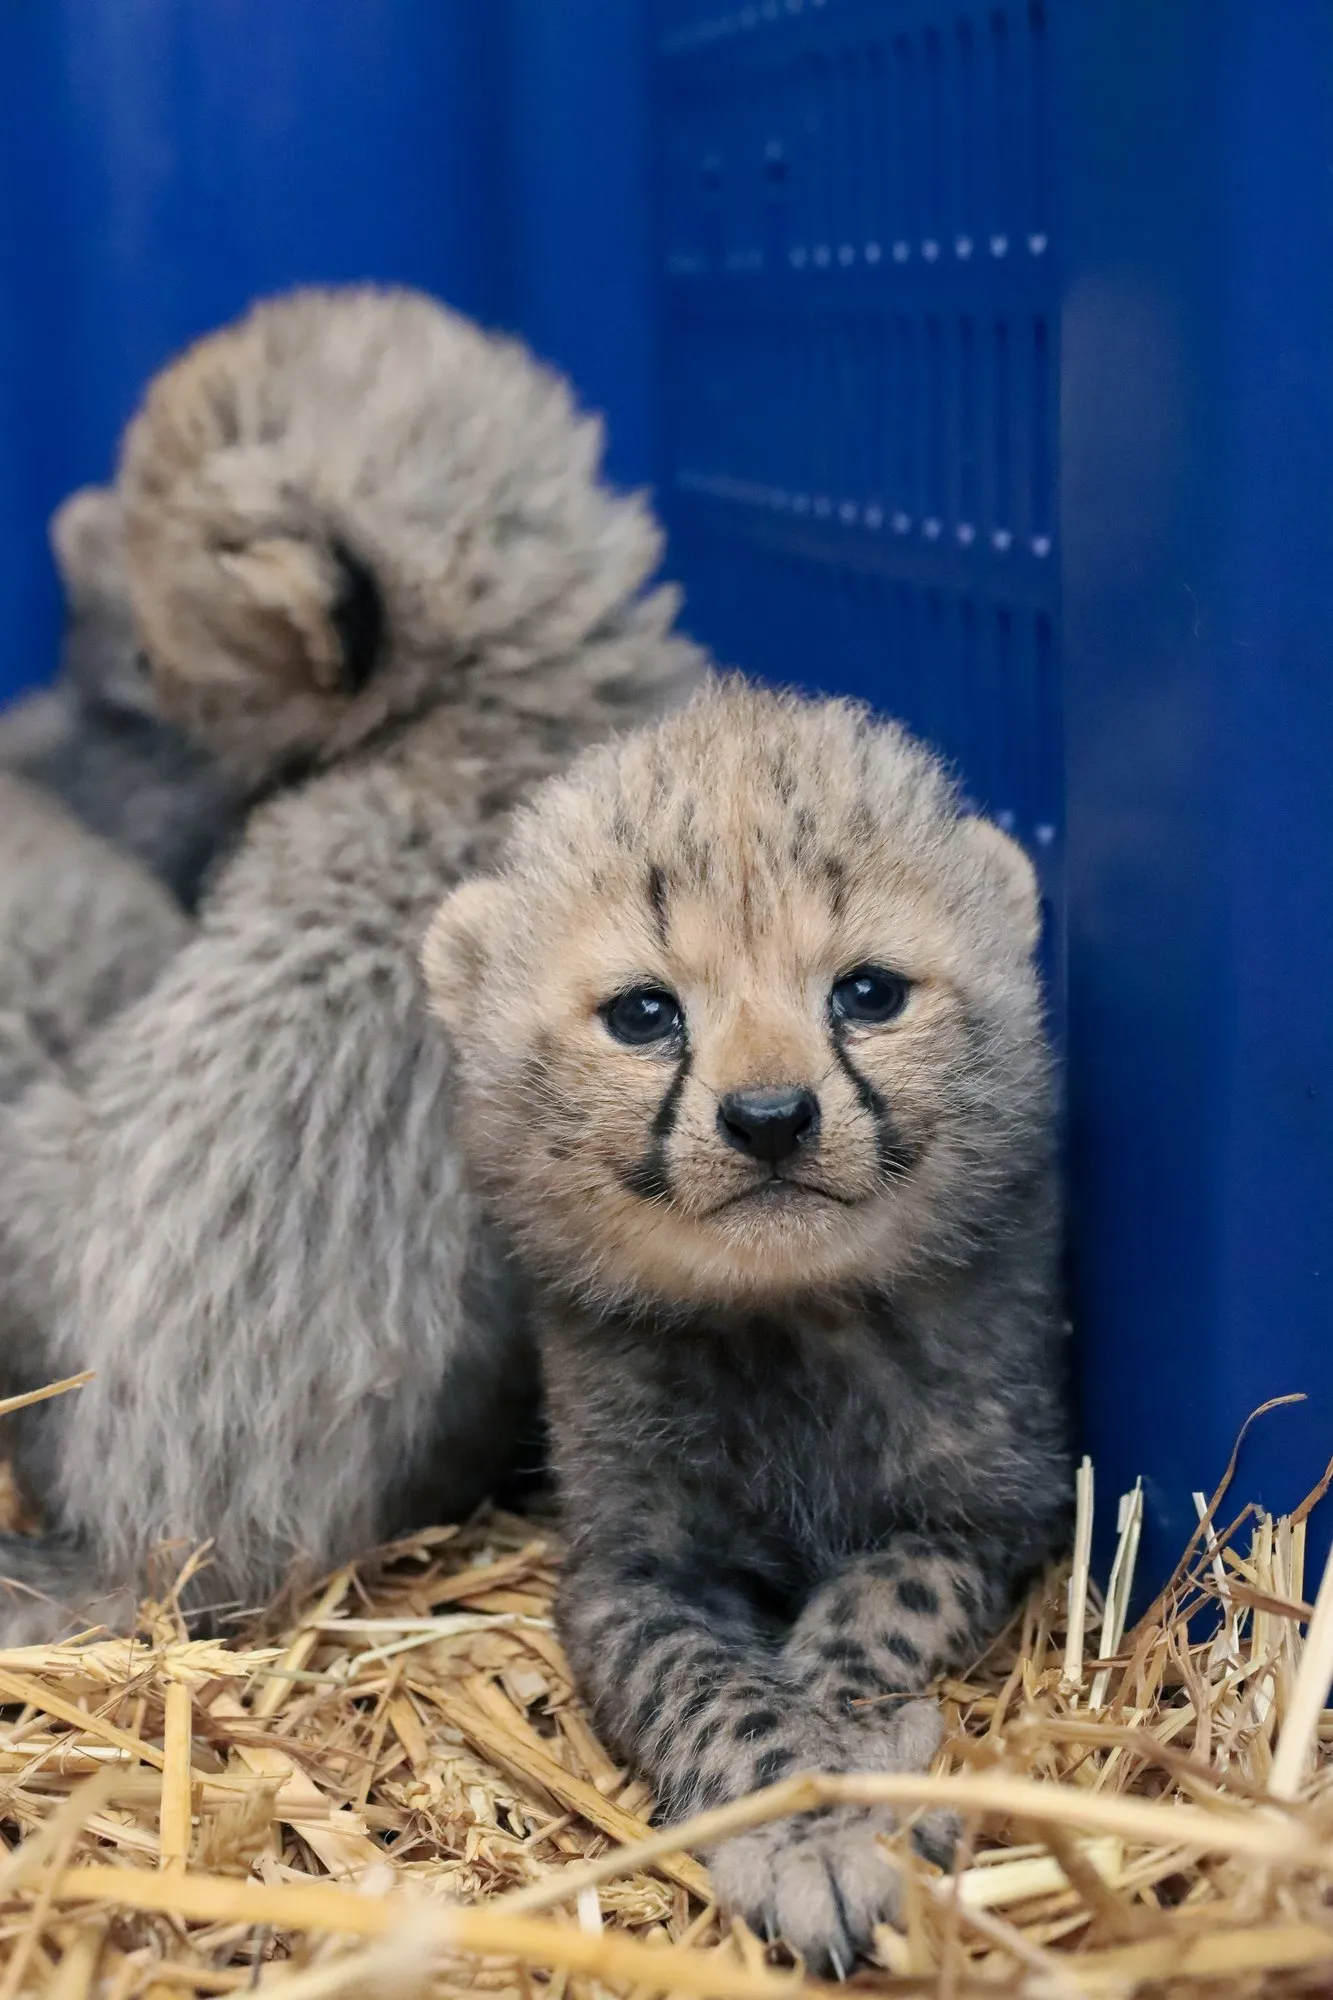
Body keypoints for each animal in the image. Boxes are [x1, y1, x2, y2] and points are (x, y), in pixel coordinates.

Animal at [423, 676, 1071, 1972]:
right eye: (642, 1012)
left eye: (867, 992)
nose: (770, 1116)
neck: (785, 1322)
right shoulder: (625, 1570)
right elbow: (709, 1685)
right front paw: (806, 1823)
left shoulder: (987, 1510)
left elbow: (875, 1607)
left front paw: (850, 1762)